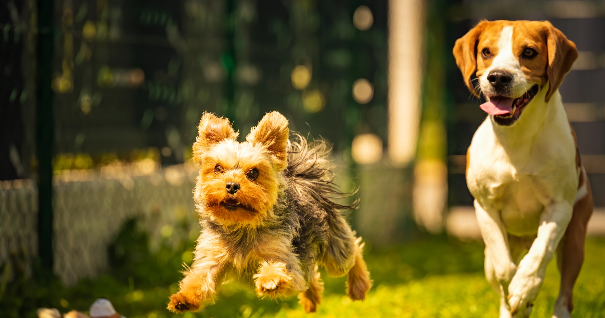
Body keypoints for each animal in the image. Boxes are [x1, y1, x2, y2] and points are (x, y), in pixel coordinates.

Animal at [168, 112, 370, 314]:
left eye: (253, 173)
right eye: (218, 168)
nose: (231, 185)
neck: (242, 226)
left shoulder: (282, 256)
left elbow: (278, 268)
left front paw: (270, 280)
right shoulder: (212, 256)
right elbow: (200, 279)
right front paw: (183, 299)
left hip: (335, 249)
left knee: (353, 251)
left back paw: (358, 287)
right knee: (310, 275)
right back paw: (310, 300)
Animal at [452, 20, 588, 318]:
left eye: (528, 52)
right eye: (486, 51)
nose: (498, 77)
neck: (517, 138)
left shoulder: (559, 207)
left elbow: (540, 254)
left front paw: (525, 288)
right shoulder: (485, 207)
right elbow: (505, 269)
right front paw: (517, 295)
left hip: (575, 242)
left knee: (564, 295)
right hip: (487, 262)